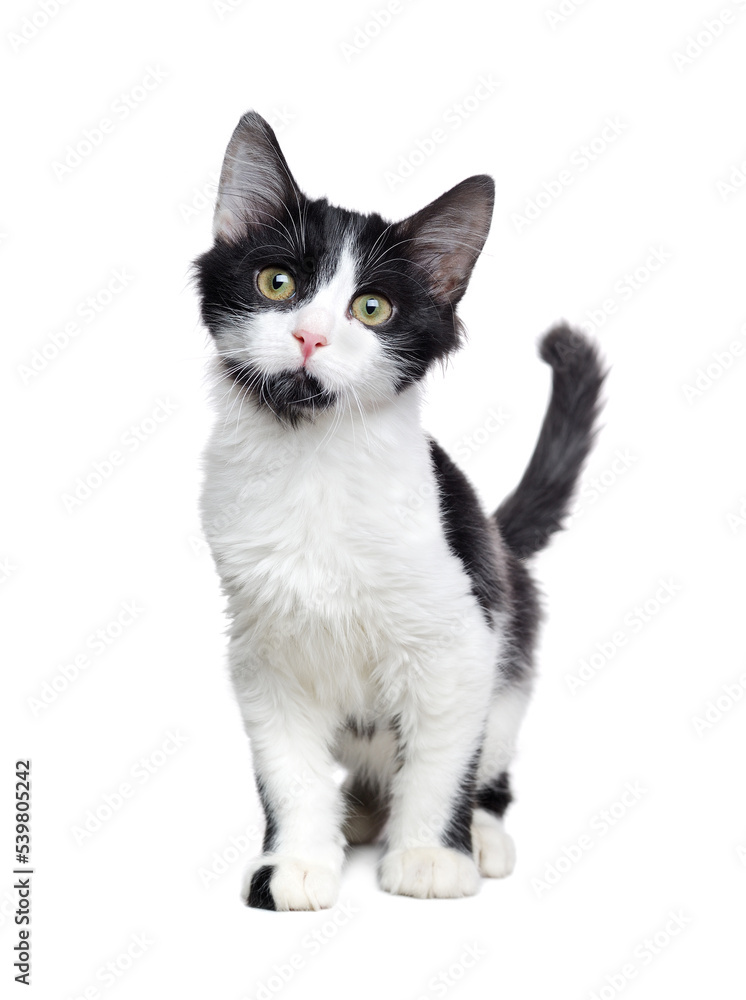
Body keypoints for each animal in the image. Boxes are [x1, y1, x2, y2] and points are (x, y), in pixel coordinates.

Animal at [193, 113, 604, 912]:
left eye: (372, 308)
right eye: (277, 283)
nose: (310, 336)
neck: (312, 467)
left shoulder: (459, 643)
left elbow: (440, 763)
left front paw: (430, 858)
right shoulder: (262, 654)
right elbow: (287, 774)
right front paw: (296, 863)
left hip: (508, 667)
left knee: (486, 770)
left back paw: (478, 833)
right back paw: (355, 812)